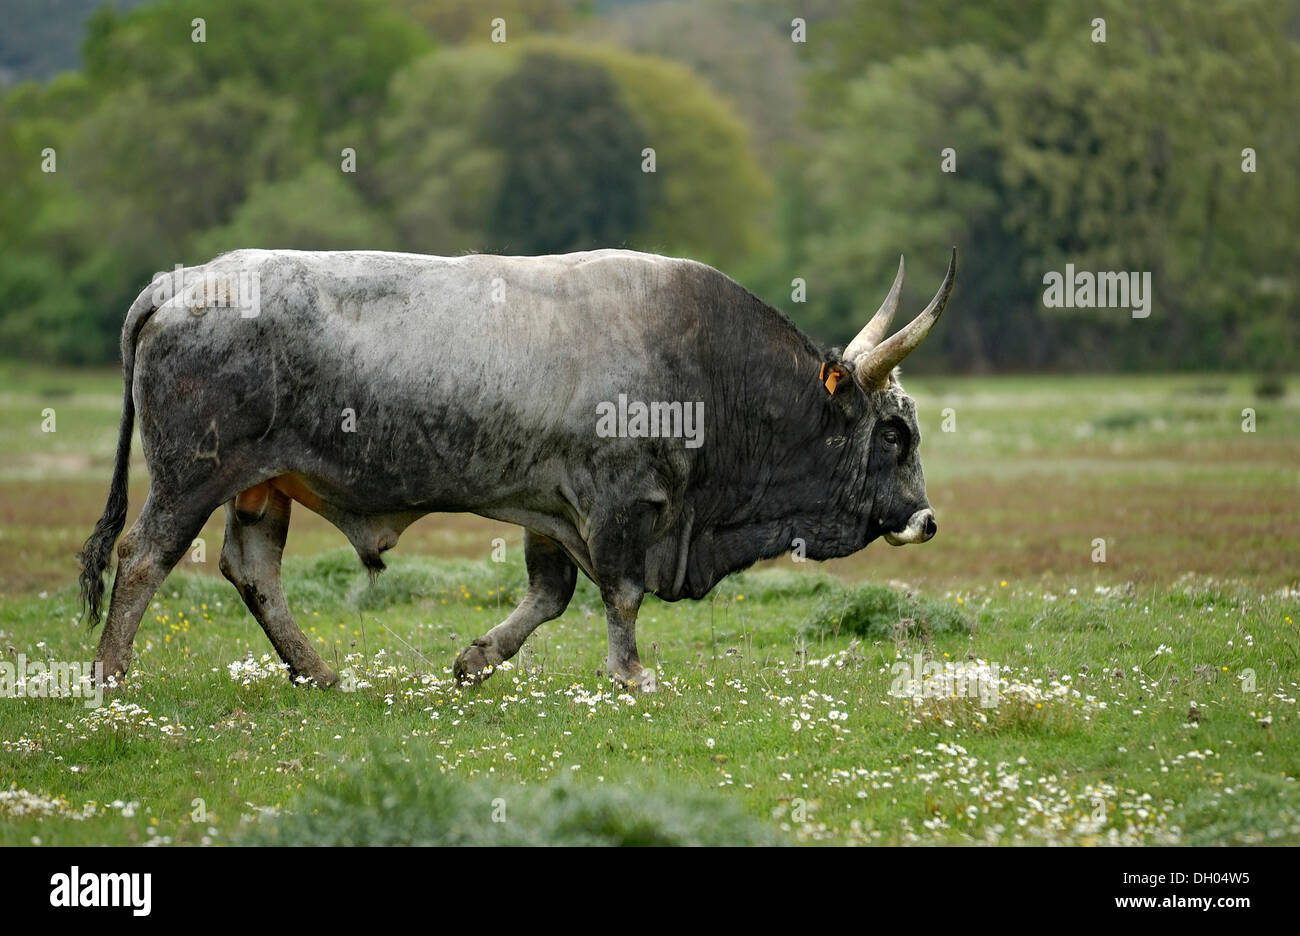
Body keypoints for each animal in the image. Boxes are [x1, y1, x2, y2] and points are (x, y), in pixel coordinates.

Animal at [78, 244, 956, 691]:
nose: (926, 518)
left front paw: (477, 659)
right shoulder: (618, 504)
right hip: (195, 475)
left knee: (252, 570)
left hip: (260, 484)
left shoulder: (550, 503)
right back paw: (112, 676)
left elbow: (549, 596)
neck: (708, 365)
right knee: (144, 557)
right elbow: (622, 596)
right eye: (893, 434)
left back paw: (317, 671)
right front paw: (631, 676)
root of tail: (180, 282)